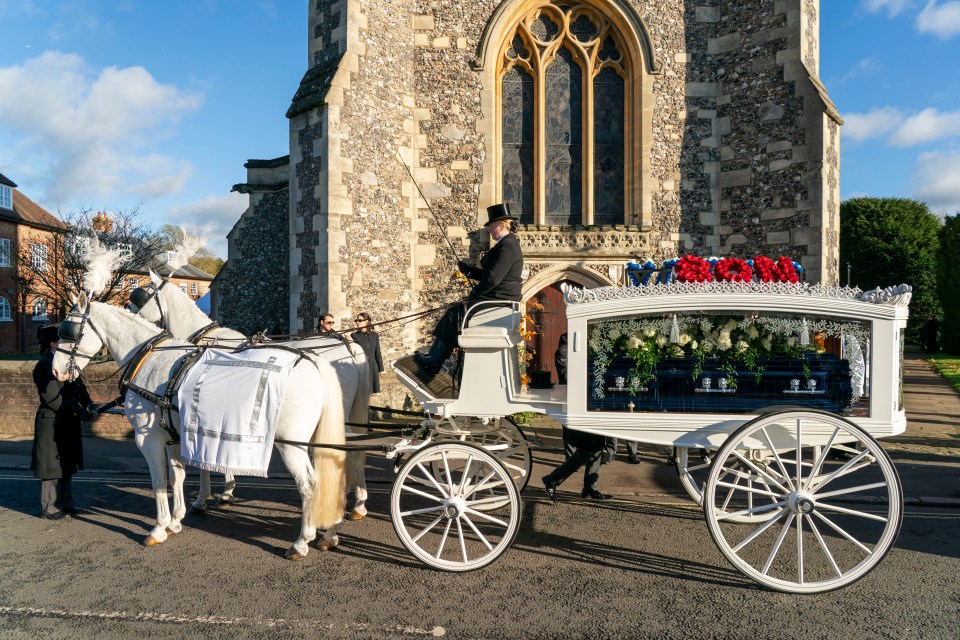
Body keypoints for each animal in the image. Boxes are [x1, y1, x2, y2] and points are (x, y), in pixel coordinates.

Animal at [52, 296, 348, 560]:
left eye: (68, 330)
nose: (56, 371)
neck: (148, 358)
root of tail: (312, 361)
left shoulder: (148, 439)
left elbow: (159, 482)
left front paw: (159, 527)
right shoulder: (172, 436)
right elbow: (178, 477)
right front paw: (176, 520)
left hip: (290, 444)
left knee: (309, 484)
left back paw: (302, 541)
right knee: (331, 477)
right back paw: (330, 533)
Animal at [131, 270, 376, 520]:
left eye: (140, 297)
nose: (130, 311)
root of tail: (349, 345)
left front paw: (202, 499)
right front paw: (226, 492)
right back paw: (356, 501)